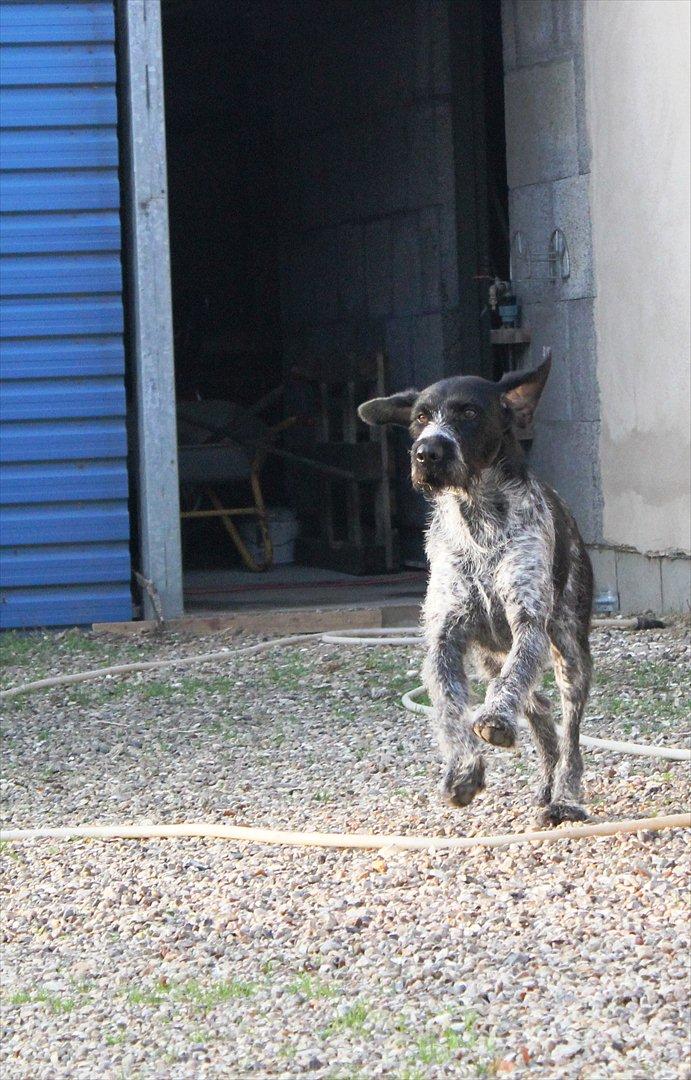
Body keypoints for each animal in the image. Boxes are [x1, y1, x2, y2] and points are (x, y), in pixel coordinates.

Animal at [358, 349, 591, 820]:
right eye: (420, 417)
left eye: (469, 412)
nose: (427, 452)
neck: (478, 518)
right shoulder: (444, 640)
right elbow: (451, 711)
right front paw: (463, 772)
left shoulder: (528, 623)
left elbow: (511, 685)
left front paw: (496, 720)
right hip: (490, 656)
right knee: (538, 708)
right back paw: (545, 781)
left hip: (568, 652)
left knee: (570, 733)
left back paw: (564, 797)